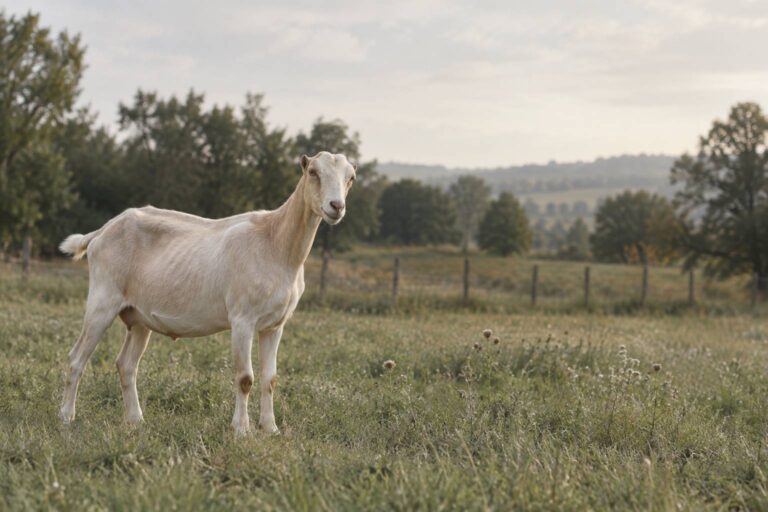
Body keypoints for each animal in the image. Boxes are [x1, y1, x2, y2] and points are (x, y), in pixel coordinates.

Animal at [58, 152, 355, 434]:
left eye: (350, 177)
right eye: (313, 172)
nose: (336, 206)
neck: (276, 244)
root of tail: (103, 230)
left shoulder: (275, 325)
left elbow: (270, 379)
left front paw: (271, 428)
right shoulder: (242, 319)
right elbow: (245, 378)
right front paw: (241, 429)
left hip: (139, 317)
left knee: (126, 365)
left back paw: (136, 421)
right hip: (102, 300)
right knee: (76, 358)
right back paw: (67, 417)